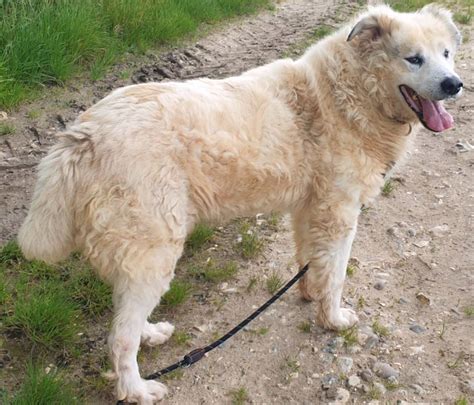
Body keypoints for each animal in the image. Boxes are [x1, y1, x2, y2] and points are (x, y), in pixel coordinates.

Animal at [18, 3, 462, 404]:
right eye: (413, 58)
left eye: (446, 53)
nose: (454, 84)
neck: (347, 94)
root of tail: (83, 133)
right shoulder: (339, 215)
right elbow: (335, 277)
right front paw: (334, 320)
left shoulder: (310, 210)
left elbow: (310, 262)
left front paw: (308, 296)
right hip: (156, 249)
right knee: (119, 338)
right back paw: (138, 390)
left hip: (138, 252)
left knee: (125, 312)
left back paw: (151, 333)